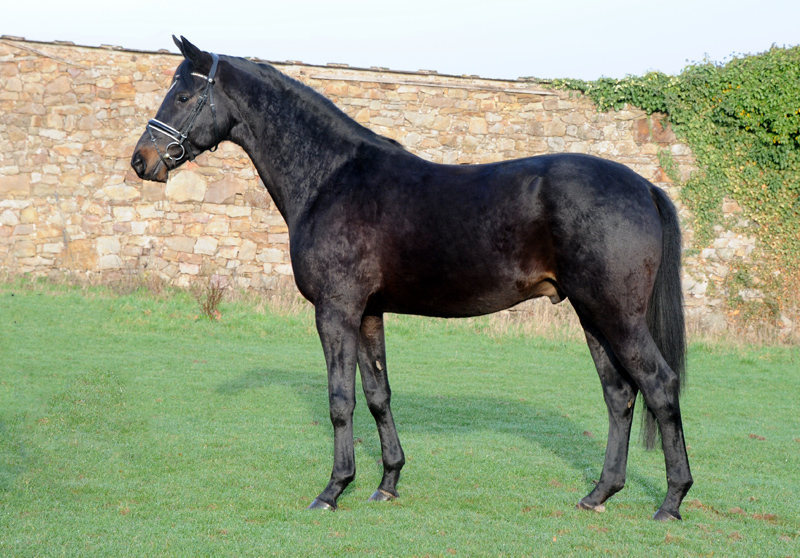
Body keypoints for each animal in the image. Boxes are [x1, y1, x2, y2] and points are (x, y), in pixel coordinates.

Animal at [131, 37, 692, 524]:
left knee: (660, 385)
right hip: (591, 315)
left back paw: (670, 502)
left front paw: (332, 490)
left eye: (184, 95)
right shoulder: (368, 313)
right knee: (619, 394)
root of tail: (643, 187)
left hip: (616, 315)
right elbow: (378, 394)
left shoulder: (334, 310)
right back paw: (599, 494)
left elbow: (340, 401)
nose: (142, 160)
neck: (332, 178)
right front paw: (387, 483)